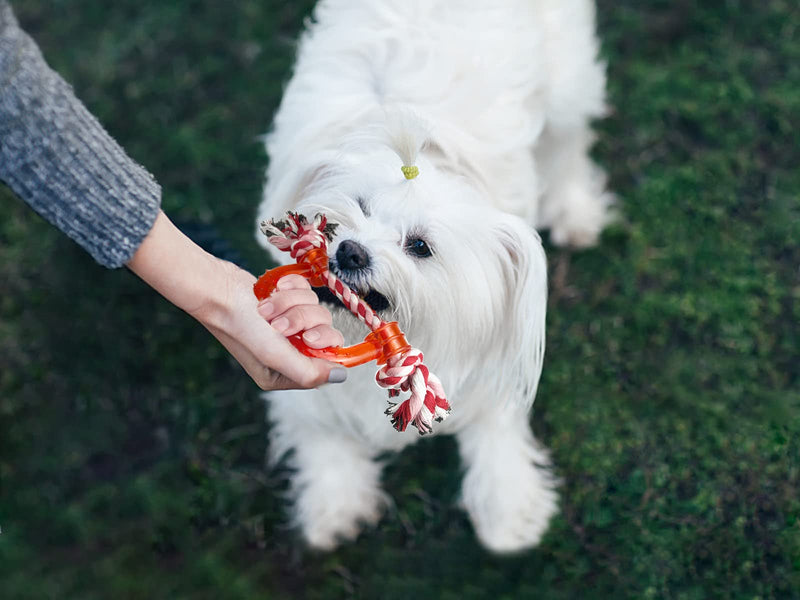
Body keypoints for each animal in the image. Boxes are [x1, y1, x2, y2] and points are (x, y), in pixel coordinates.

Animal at [258, 0, 612, 552]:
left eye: (420, 246)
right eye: (357, 208)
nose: (351, 251)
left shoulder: (490, 342)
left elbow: (496, 431)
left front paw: (509, 512)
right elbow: (319, 427)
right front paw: (333, 507)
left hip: (567, 81)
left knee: (567, 144)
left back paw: (574, 211)